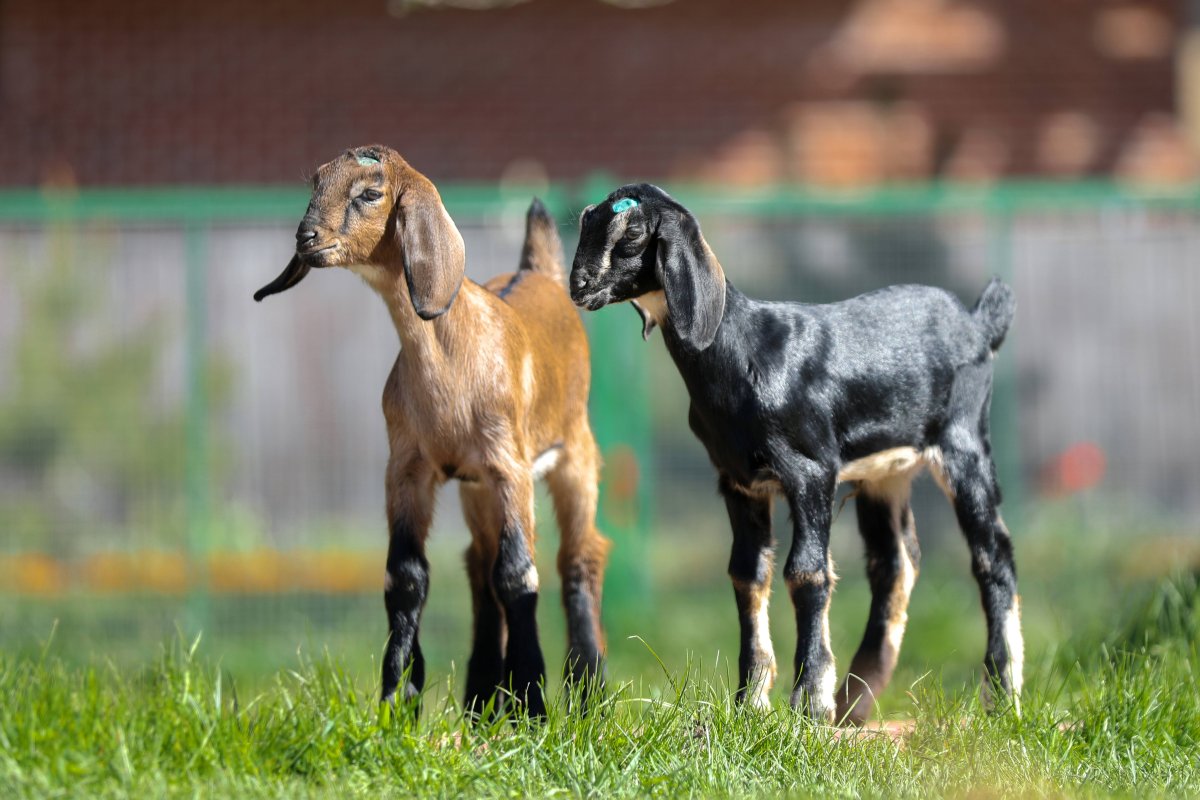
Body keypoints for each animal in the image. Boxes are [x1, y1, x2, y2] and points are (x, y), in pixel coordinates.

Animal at [254, 145, 610, 717]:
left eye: (370, 193)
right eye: (316, 183)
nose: (305, 237)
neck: (451, 358)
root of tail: (541, 276)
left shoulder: (510, 466)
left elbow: (520, 574)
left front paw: (533, 704)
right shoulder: (408, 468)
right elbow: (406, 575)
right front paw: (397, 699)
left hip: (573, 454)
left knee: (578, 557)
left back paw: (586, 694)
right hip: (475, 490)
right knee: (480, 567)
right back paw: (482, 703)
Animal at [569, 184, 1021, 724]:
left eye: (634, 231)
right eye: (587, 221)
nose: (579, 284)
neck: (746, 351)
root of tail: (977, 323)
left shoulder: (810, 471)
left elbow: (806, 571)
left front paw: (808, 701)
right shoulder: (738, 481)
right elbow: (747, 573)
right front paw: (750, 701)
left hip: (963, 443)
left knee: (993, 554)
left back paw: (1001, 692)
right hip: (886, 472)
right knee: (895, 561)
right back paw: (855, 700)